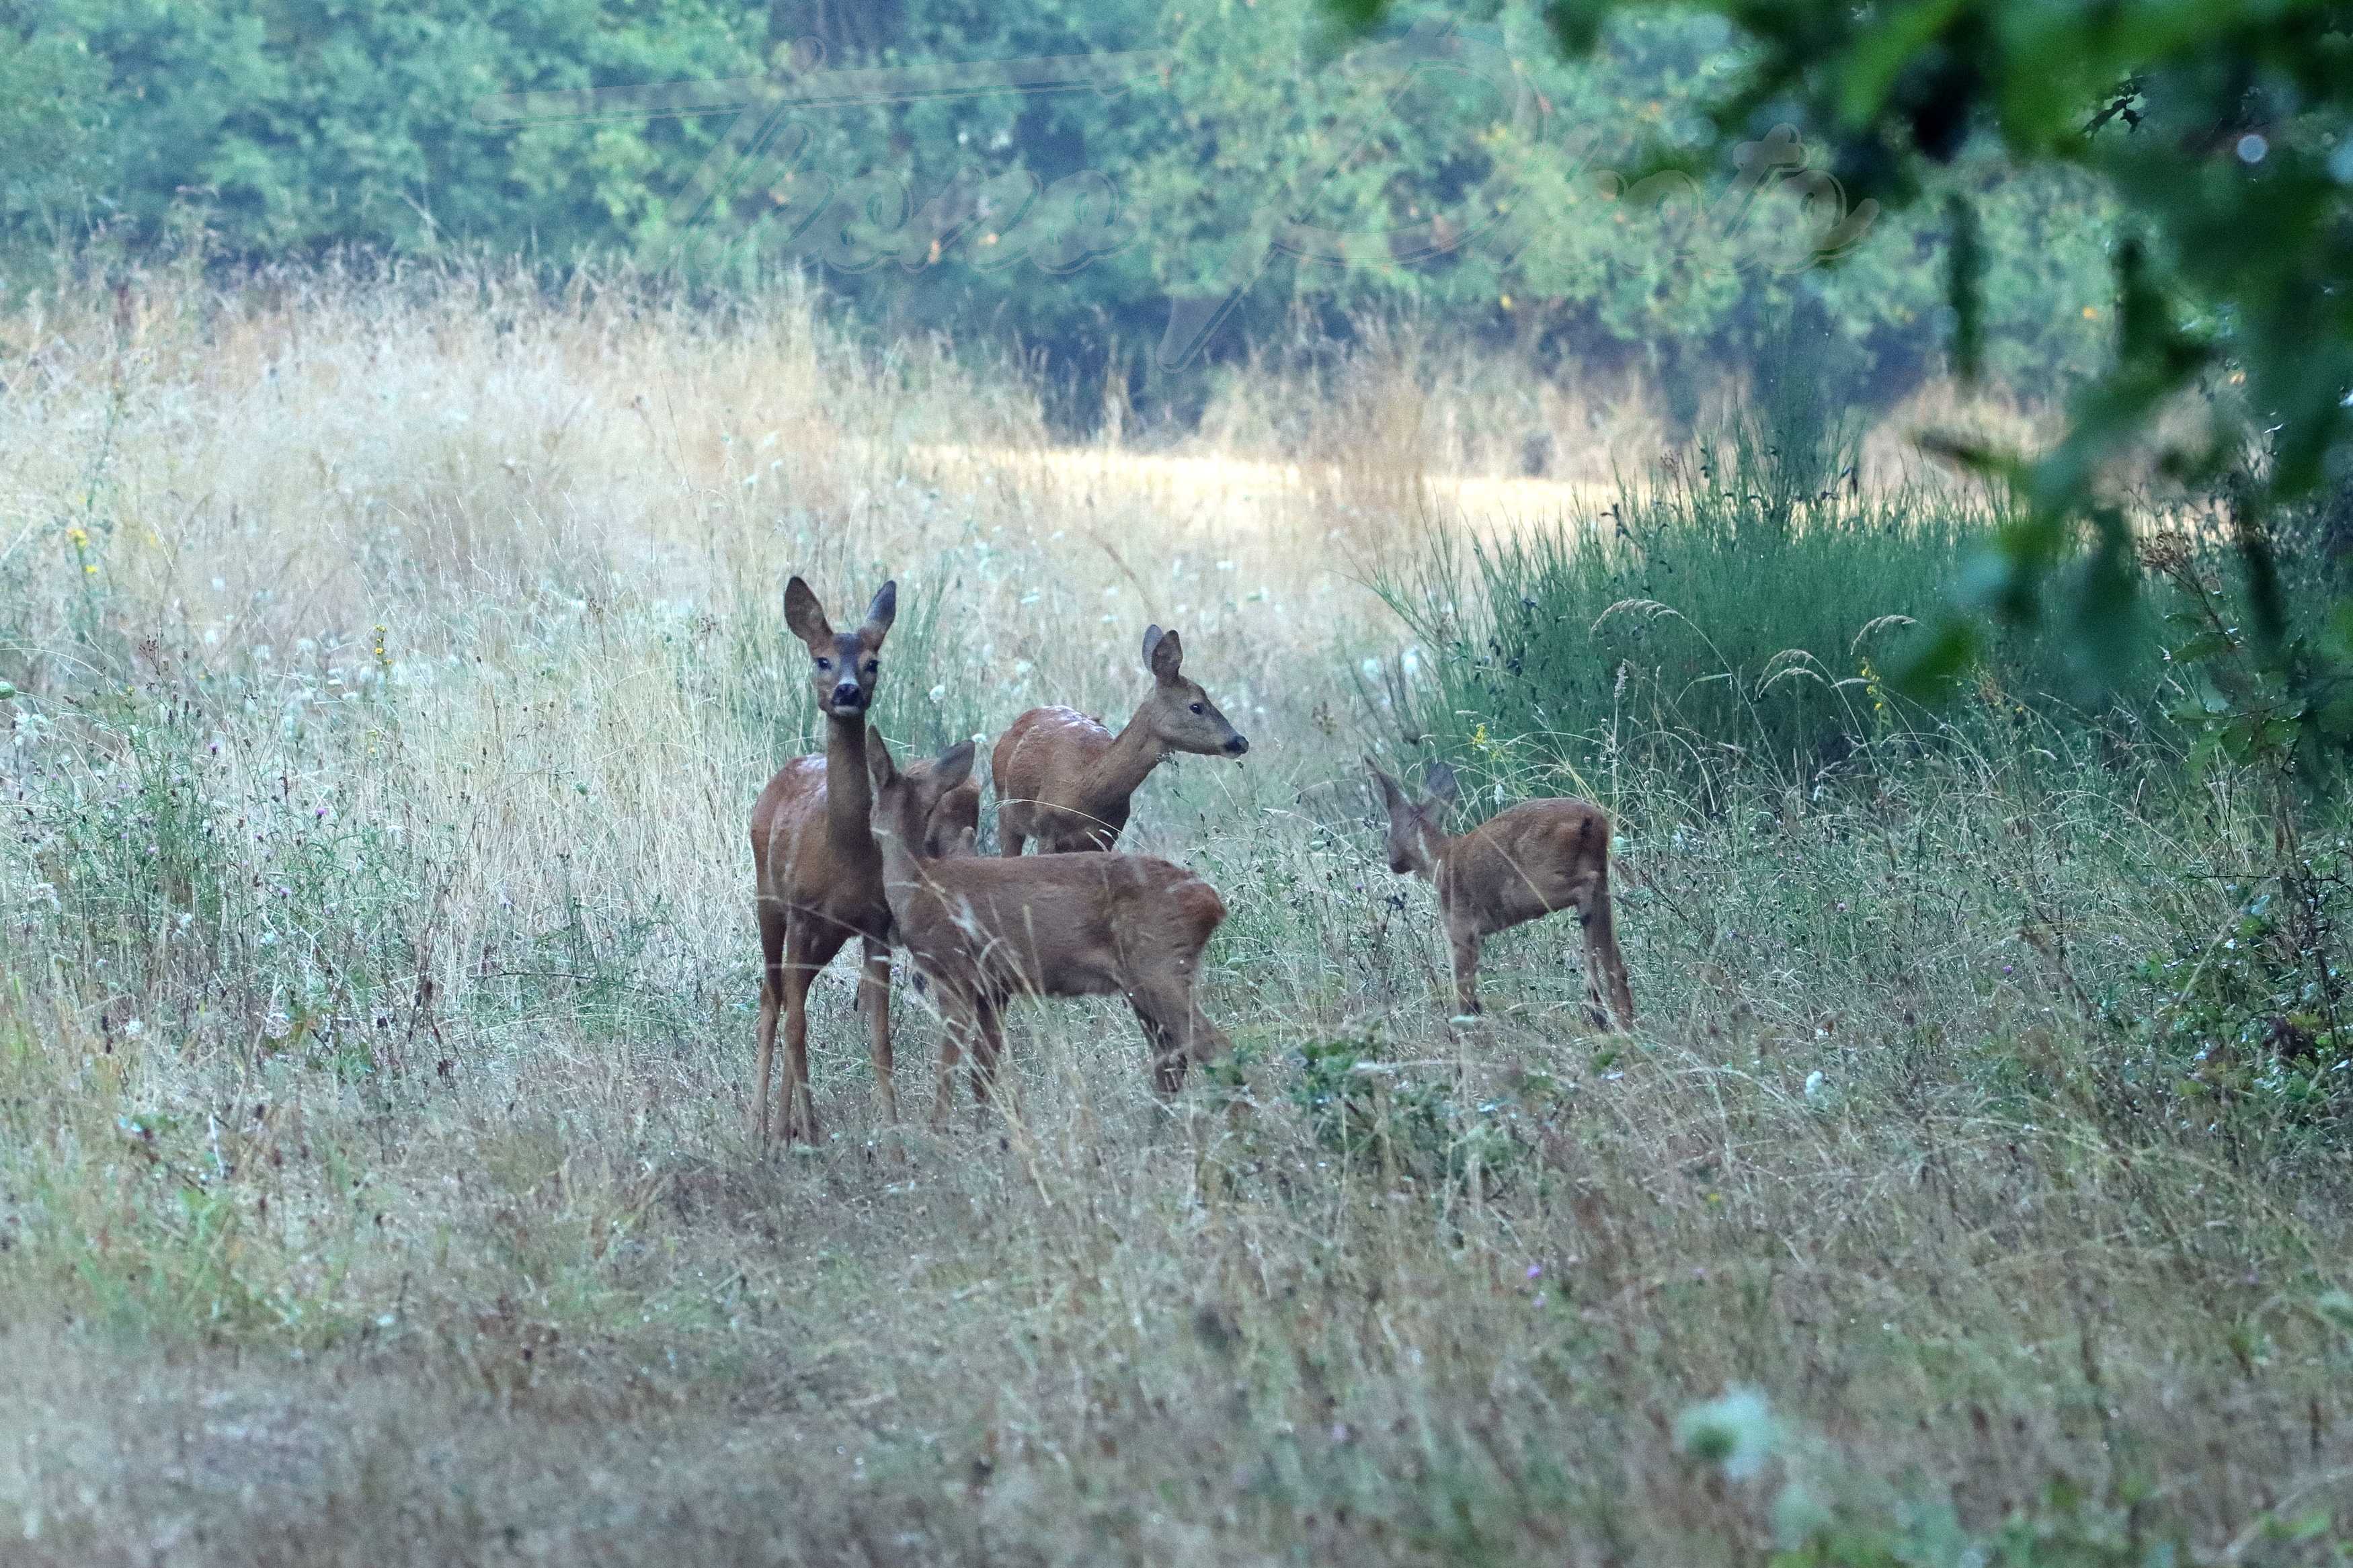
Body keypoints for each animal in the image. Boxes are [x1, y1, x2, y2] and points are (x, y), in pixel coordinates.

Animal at [866, 738, 1233, 1128]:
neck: (919, 883)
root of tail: (1212, 903)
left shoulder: (955, 973)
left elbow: (947, 1067)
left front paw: (939, 1131)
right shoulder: (993, 990)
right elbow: (982, 1072)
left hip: (1159, 968)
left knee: (1215, 1049)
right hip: (1147, 983)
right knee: (1173, 1061)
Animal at [993, 620, 1252, 860]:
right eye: (1196, 706)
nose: (1240, 741)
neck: (1081, 788)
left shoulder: (1107, 836)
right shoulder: (1046, 830)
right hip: (1004, 811)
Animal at [1365, 757, 1638, 1030]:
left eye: (1386, 833)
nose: (1393, 862)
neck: (1441, 861)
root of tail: (1593, 820)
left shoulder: (1461, 929)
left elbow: (1465, 998)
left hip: (1537, 885)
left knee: (1586, 893)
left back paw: (1595, 1000)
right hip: (1598, 879)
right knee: (1615, 960)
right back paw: (1619, 1017)